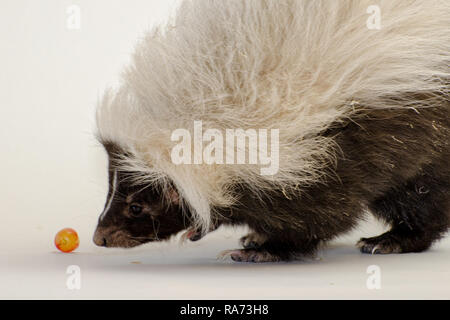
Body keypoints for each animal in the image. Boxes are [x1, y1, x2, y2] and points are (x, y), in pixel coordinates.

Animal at [92, 0, 450, 262]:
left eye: (137, 207)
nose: (101, 237)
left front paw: (261, 250)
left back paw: (391, 241)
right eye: (111, 193)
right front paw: (244, 234)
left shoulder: (323, 151)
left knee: (423, 195)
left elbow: (318, 216)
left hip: (426, 133)